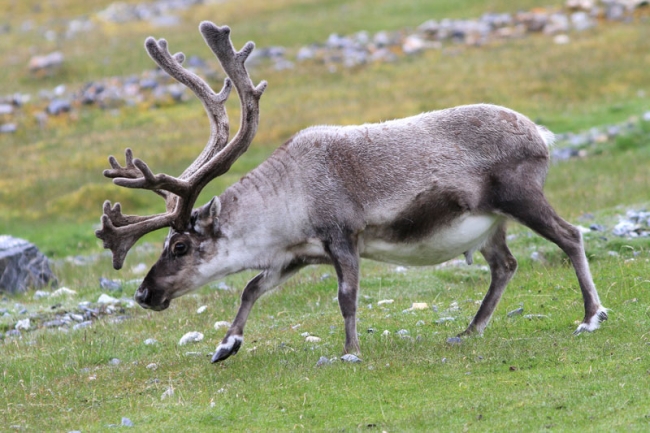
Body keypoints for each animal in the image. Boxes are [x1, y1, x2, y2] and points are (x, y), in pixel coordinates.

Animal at [96, 22, 608, 364]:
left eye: (180, 246)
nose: (143, 293)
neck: (287, 200)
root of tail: (542, 134)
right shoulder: (295, 255)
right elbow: (250, 287)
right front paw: (226, 344)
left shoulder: (343, 236)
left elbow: (347, 296)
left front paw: (349, 350)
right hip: (488, 225)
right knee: (505, 264)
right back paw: (470, 329)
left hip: (521, 197)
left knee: (570, 235)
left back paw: (590, 316)